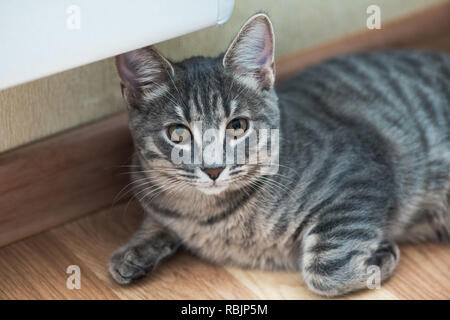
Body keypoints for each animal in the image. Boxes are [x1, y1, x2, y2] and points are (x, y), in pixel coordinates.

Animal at [109, 13, 450, 296]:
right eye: (178, 133)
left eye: (237, 126)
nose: (213, 169)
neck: (209, 218)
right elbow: (156, 219)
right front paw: (134, 249)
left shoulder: (358, 176)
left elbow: (324, 270)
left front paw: (378, 258)